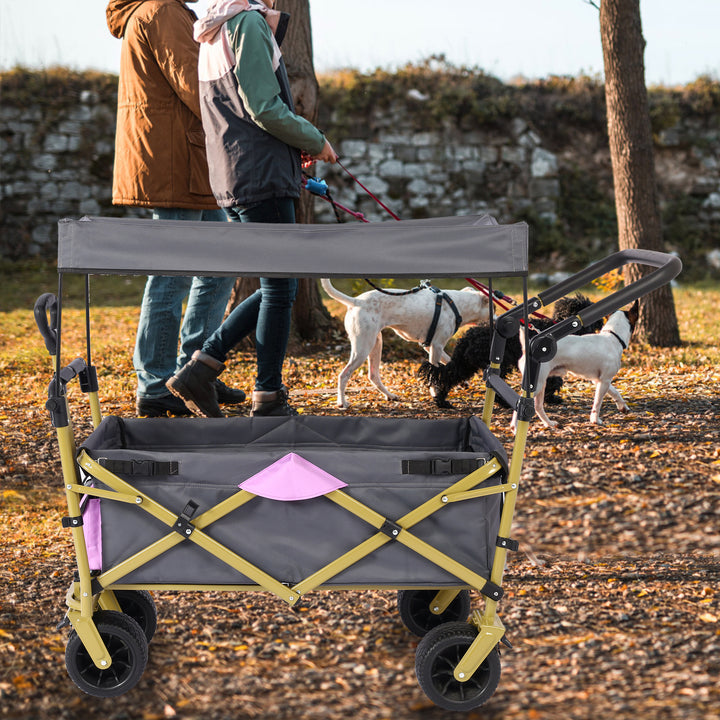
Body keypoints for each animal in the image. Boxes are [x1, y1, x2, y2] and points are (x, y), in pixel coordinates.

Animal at [324, 278, 490, 408]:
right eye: (493, 308)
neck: (455, 305)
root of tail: (356, 301)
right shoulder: (436, 346)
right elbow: (434, 372)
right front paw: (436, 394)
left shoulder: (430, 346)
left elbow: (448, 362)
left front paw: (462, 381)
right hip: (363, 348)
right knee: (344, 375)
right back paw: (342, 402)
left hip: (376, 344)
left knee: (373, 375)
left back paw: (390, 395)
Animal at [416, 292, 600, 404]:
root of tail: (467, 337)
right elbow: (554, 381)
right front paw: (551, 398)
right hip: (498, 363)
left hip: (465, 364)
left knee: (448, 377)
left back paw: (441, 402)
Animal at [512, 300, 640, 430]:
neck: (613, 337)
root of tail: (528, 348)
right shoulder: (604, 381)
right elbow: (597, 402)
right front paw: (595, 420)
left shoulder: (599, 380)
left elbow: (615, 391)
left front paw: (623, 406)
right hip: (537, 384)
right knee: (521, 403)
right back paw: (515, 427)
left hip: (541, 384)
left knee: (537, 406)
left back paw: (549, 423)